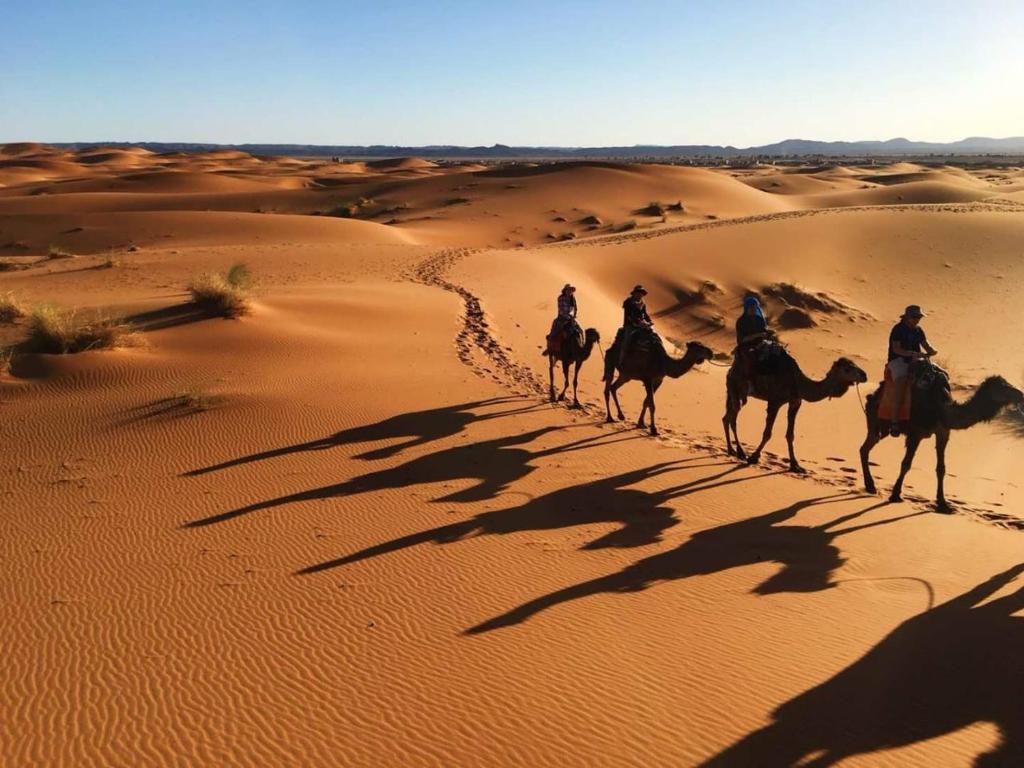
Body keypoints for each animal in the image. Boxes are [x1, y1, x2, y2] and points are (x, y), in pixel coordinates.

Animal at [724, 350, 868, 475]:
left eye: (855, 364)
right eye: (847, 369)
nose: (864, 375)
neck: (798, 383)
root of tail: (732, 368)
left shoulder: (795, 403)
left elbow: (790, 435)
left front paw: (795, 465)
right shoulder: (775, 401)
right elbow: (767, 433)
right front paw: (753, 457)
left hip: (735, 392)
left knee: (726, 417)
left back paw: (732, 450)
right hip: (737, 387)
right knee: (732, 418)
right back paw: (740, 452)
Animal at [860, 364, 1019, 514]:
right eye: (1003, 387)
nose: (1020, 395)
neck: (941, 408)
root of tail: (873, 395)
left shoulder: (943, 432)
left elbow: (941, 468)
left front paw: (943, 503)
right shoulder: (915, 433)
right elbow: (906, 464)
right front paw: (895, 495)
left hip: (882, 429)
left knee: (865, 448)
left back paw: (870, 485)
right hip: (876, 420)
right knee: (866, 447)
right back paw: (870, 486)